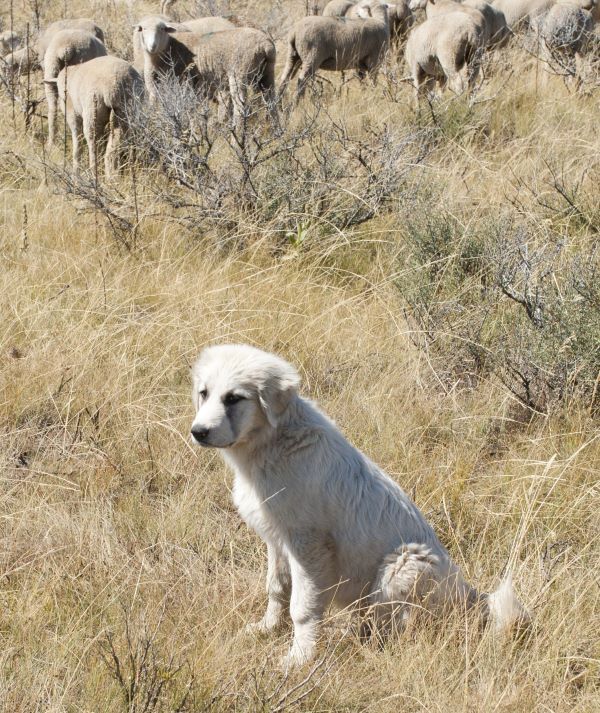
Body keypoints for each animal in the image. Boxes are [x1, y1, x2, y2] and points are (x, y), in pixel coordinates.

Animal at [134, 16, 276, 127]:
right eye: (143, 29)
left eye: (162, 29)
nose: (152, 46)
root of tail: (265, 44)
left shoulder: (184, 81)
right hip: (267, 73)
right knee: (271, 101)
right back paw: (274, 130)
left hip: (239, 73)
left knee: (240, 108)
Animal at [190, 342, 528, 664]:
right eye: (204, 393)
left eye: (234, 398)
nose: (198, 432)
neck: (272, 442)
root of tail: (471, 596)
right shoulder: (277, 541)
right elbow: (276, 588)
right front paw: (267, 629)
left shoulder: (309, 547)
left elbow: (303, 607)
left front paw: (299, 658)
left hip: (402, 565)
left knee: (395, 631)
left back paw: (348, 637)